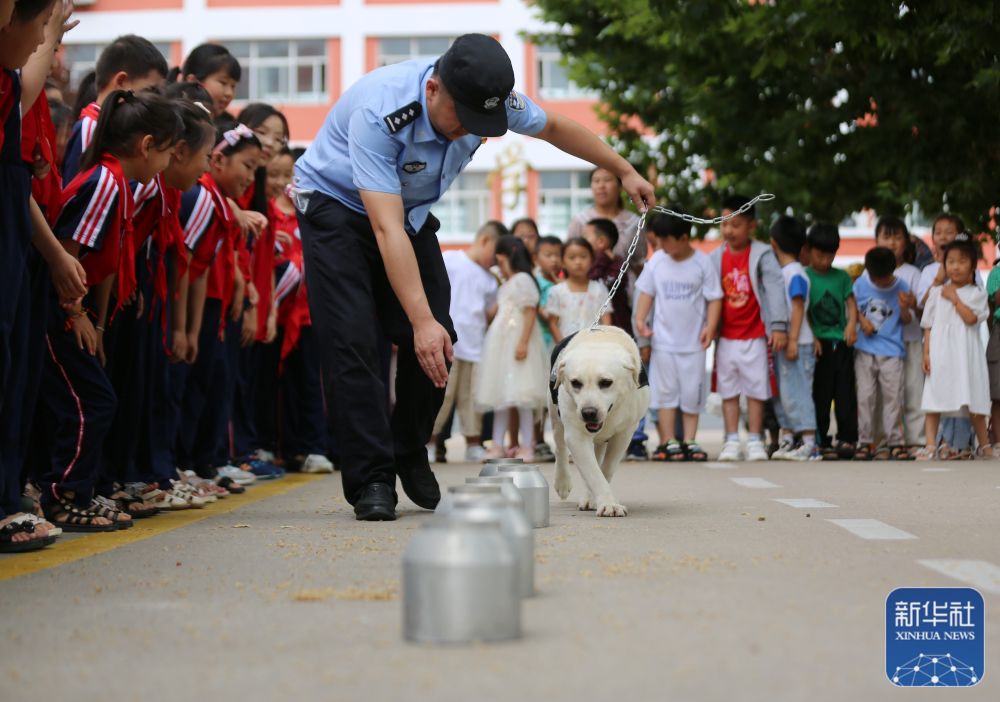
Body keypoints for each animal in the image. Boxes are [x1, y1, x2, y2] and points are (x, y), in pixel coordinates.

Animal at [548, 326, 648, 516]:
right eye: (575, 383)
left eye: (606, 382)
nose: (588, 413)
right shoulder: (577, 437)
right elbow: (594, 473)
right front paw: (609, 503)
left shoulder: (624, 434)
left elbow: (605, 469)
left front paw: (601, 500)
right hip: (555, 416)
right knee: (560, 448)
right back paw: (563, 482)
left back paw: (589, 499)